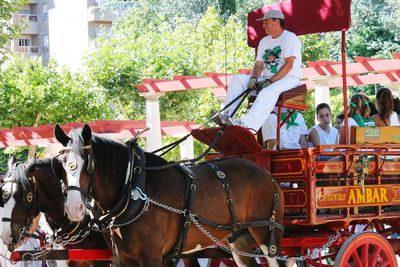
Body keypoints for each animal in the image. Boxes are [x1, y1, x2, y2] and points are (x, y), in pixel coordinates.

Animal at [53, 125, 284, 267]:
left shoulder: (151, 255)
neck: (132, 189)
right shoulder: (126, 259)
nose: (73, 208)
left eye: (87, 163)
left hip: (267, 234)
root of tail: (267, 175)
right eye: (61, 164)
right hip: (239, 240)